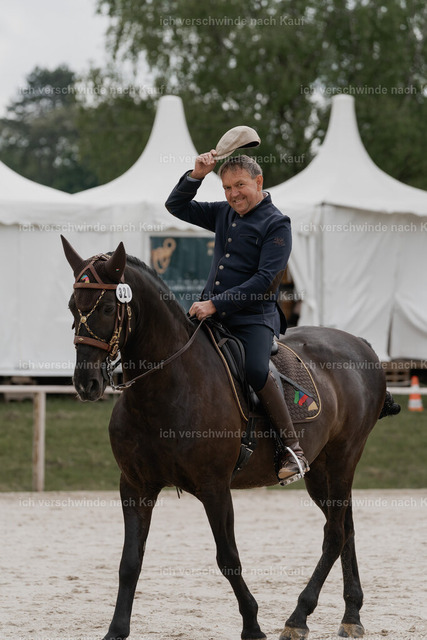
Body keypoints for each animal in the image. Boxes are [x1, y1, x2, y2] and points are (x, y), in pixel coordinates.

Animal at [61, 236, 400, 640]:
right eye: (72, 306)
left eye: (109, 306)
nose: (86, 382)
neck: (166, 386)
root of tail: (361, 344)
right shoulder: (135, 486)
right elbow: (130, 561)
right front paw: (116, 630)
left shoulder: (214, 488)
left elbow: (228, 558)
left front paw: (252, 624)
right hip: (320, 472)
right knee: (345, 528)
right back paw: (351, 614)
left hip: (342, 459)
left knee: (334, 533)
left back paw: (298, 616)